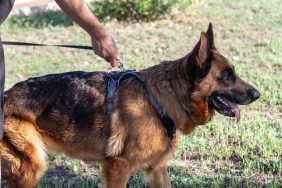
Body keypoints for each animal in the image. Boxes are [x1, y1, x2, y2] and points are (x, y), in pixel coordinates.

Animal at [0, 24, 260, 187]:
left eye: (233, 72)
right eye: (227, 75)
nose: (257, 94)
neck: (160, 100)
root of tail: (6, 95)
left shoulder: (157, 168)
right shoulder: (118, 168)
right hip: (31, 167)